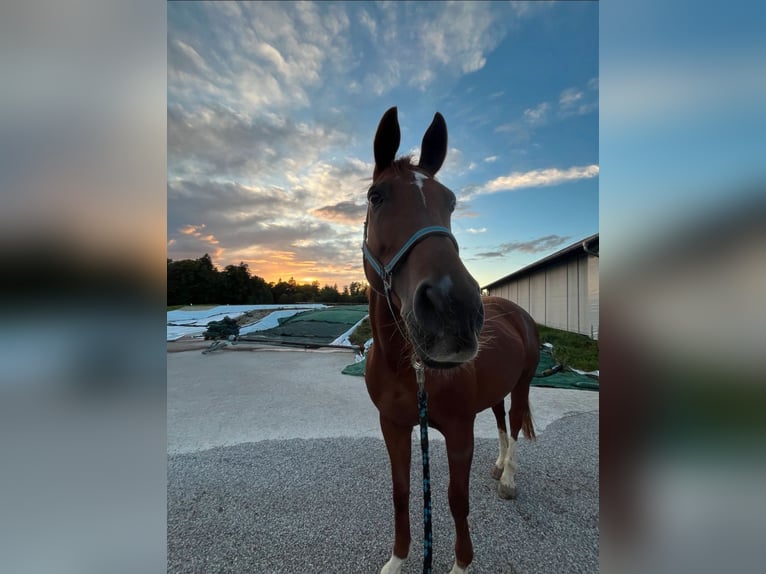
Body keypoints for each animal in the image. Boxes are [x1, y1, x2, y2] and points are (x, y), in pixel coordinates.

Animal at [362, 107, 540, 574]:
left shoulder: (459, 430)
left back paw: (508, 477)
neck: (407, 367)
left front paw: (461, 564)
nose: (452, 307)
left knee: (516, 421)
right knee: (501, 421)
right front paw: (397, 559)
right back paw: (498, 465)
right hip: (496, 390)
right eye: (376, 196)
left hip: (522, 384)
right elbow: (402, 493)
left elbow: (457, 501)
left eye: (451, 201)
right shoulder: (393, 425)